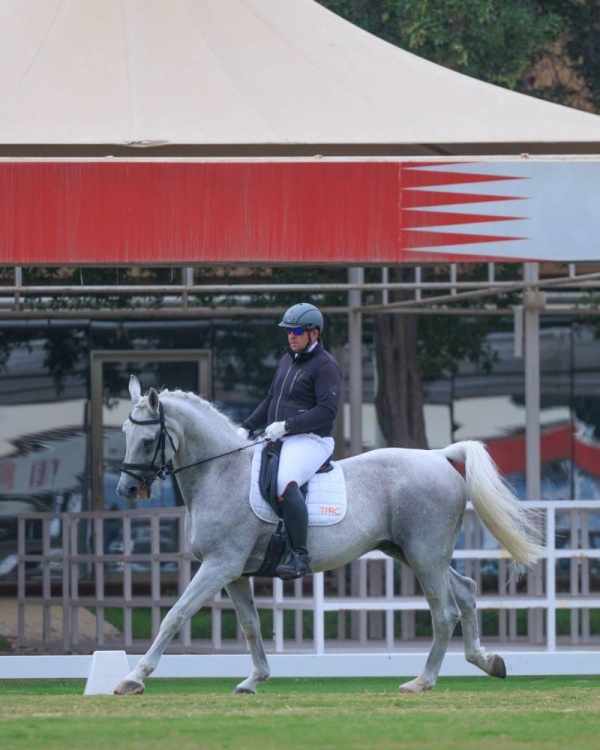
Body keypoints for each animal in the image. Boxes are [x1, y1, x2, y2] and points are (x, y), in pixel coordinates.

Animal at [112, 376, 544, 700]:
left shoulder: (220, 565)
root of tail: (438, 456)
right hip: (413, 553)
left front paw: (133, 678)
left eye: (148, 441)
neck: (221, 473)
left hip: (424, 555)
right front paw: (254, 679)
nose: (126, 490)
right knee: (466, 590)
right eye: (124, 433)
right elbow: (251, 625)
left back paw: (422, 681)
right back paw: (488, 662)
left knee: (445, 612)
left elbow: (175, 615)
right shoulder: (234, 573)